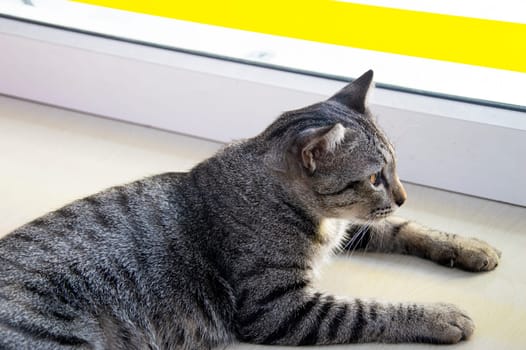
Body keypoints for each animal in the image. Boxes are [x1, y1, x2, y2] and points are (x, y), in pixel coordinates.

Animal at [0, 69, 504, 348]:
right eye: (375, 177)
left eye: (395, 167)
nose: (402, 194)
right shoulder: (280, 308)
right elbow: (369, 311)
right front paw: (438, 316)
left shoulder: (350, 230)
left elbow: (405, 228)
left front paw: (470, 246)